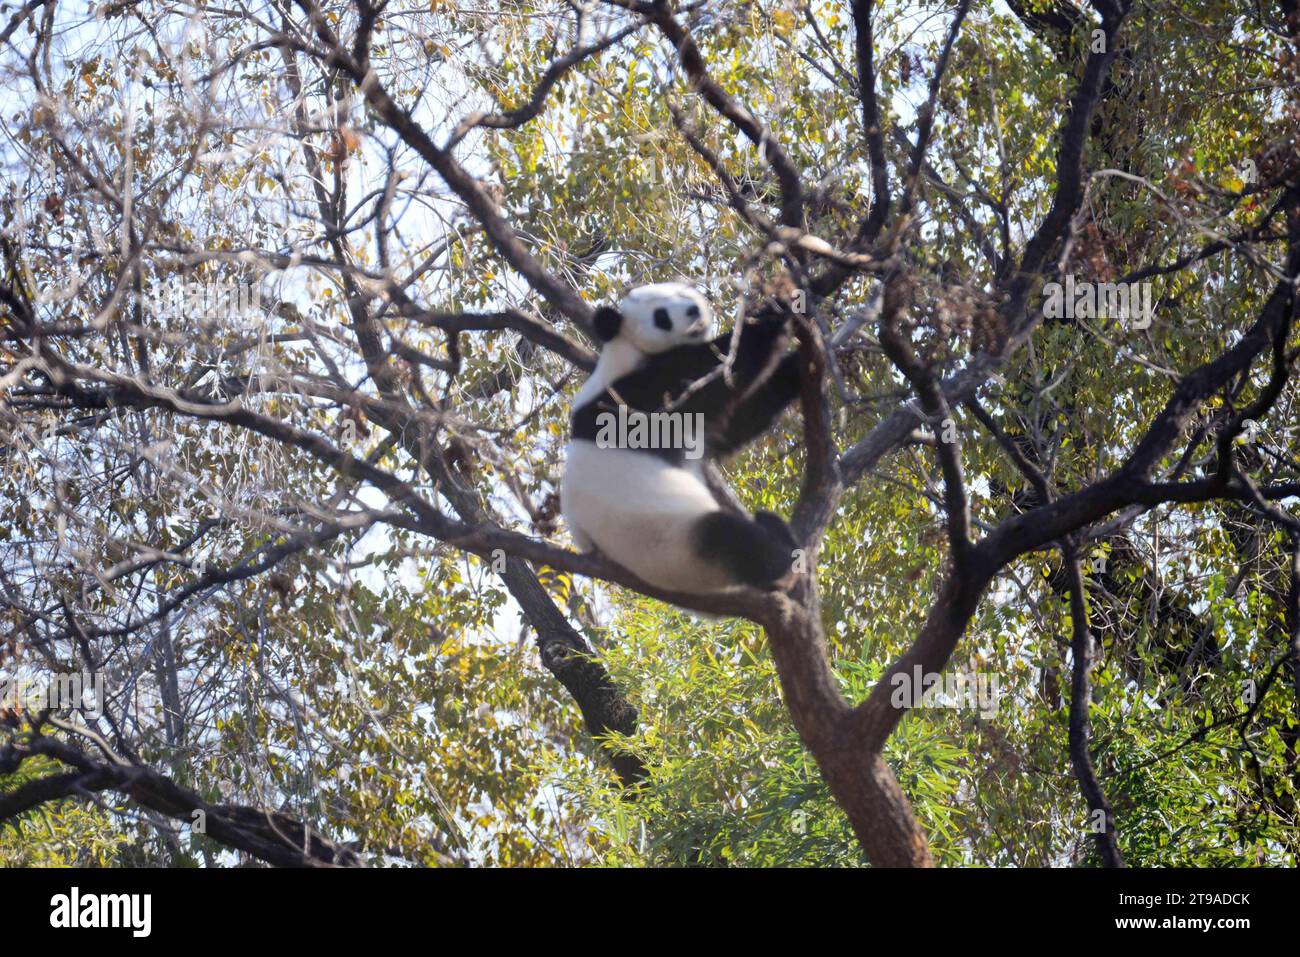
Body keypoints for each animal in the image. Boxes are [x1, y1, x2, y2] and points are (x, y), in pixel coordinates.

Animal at [561, 282, 802, 595]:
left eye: (682, 292)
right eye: (661, 316)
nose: (693, 310)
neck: (626, 350)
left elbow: (738, 421)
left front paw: (798, 366)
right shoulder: (634, 397)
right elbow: (722, 368)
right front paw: (784, 305)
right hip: (672, 546)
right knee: (730, 538)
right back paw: (786, 564)